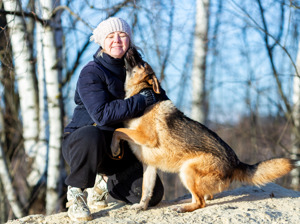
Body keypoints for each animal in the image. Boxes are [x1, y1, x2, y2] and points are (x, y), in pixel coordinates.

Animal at [110, 61, 300, 214]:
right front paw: (141, 206)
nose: (129, 50)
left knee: (201, 201)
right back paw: (187, 200)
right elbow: (146, 190)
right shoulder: (149, 166)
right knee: (205, 197)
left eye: (140, 63)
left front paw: (114, 147)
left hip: (186, 170)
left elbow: (118, 130)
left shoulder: (145, 137)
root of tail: (235, 162)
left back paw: (184, 207)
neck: (141, 96)